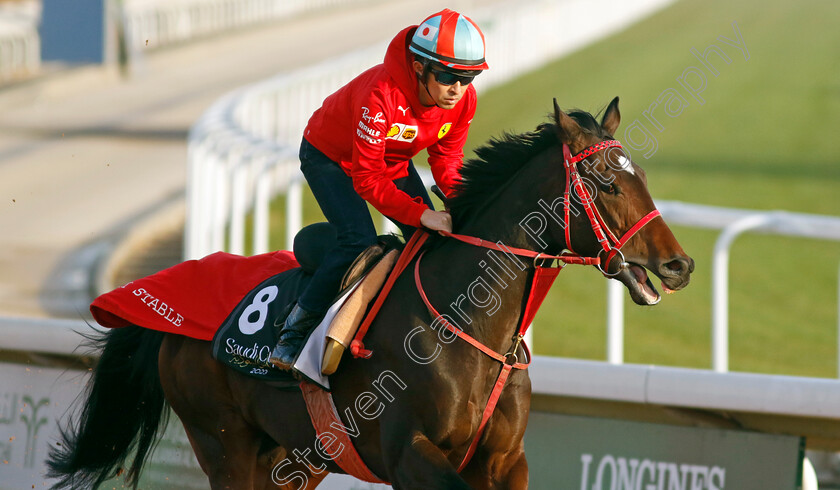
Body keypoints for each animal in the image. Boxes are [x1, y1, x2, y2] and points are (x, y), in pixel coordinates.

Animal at [44, 97, 696, 488]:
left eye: (641, 176)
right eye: (607, 182)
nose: (679, 264)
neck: (469, 322)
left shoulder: (506, 460)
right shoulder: (410, 454)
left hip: (295, 455)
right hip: (223, 440)